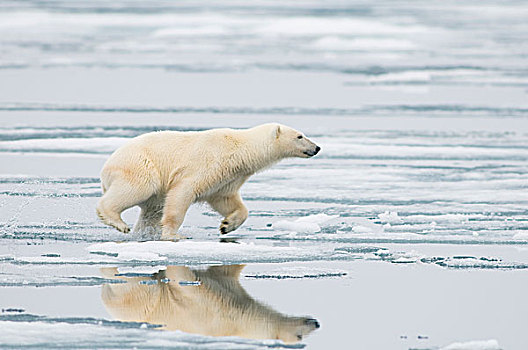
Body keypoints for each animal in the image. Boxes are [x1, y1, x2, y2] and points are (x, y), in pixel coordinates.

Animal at [96, 121, 320, 239]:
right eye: (300, 136)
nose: (317, 147)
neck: (241, 148)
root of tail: (106, 167)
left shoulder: (229, 175)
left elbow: (226, 199)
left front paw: (227, 225)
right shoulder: (208, 162)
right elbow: (183, 191)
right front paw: (175, 235)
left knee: (151, 210)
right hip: (140, 166)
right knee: (137, 188)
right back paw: (117, 222)